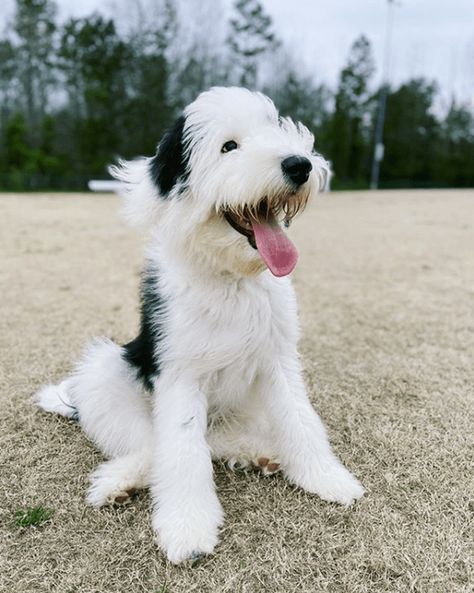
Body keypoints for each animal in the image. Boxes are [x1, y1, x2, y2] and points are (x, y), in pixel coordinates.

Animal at [35, 85, 364, 560]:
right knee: (155, 447)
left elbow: (301, 420)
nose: (299, 164)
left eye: (276, 129)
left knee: (217, 441)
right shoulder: (179, 375)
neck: (231, 281)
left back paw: (259, 453)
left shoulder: (279, 361)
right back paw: (118, 482)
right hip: (105, 371)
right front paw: (187, 529)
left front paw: (327, 478)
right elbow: (182, 451)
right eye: (228, 147)